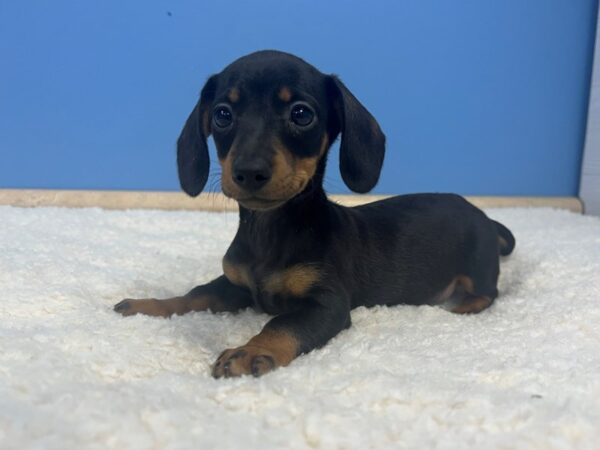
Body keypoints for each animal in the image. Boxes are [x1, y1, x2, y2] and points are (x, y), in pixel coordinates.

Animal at [113, 51, 516, 378]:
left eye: (301, 114)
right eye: (222, 114)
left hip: (478, 269)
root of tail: (484, 217)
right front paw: (148, 305)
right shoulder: (235, 285)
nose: (249, 172)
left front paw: (249, 352)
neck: (271, 231)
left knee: (489, 292)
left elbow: (281, 325)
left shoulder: (328, 305)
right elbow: (194, 296)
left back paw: (460, 308)